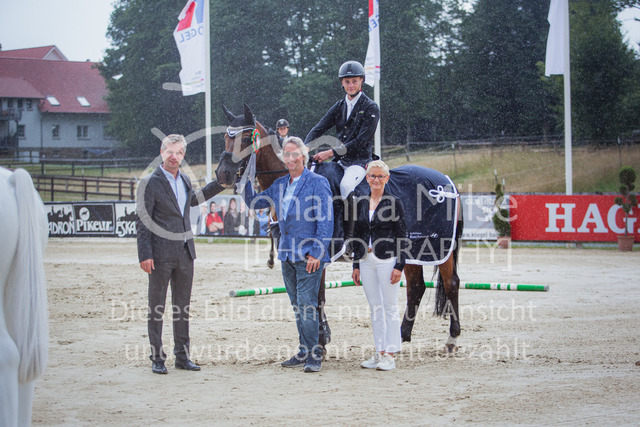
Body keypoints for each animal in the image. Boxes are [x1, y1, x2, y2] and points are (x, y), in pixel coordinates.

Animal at [215, 104, 464, 353]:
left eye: (245, 138)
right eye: (225, 139)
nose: (223, 174)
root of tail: (447, 182)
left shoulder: (319, 252)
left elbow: (317, 297)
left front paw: (320, 342)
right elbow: (311, 296)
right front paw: (319, 338)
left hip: (439, 248)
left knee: (451, 283)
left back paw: (451, 338)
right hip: (410, 250)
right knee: (416, 286)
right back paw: (401, 336)